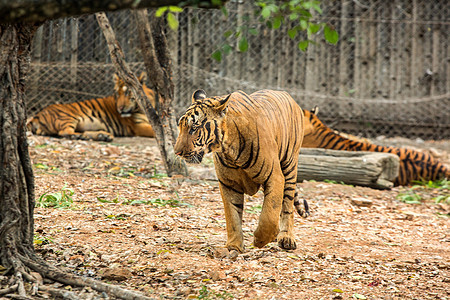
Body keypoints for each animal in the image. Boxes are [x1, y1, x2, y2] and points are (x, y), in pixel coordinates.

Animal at [27, 73, 156, 142]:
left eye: (127, 92)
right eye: (117, 93)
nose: (120, 108)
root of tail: (36, 116)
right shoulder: (137, 126)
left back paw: (103, 136)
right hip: (67, 117)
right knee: (64, 132)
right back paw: (80, 136)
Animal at [174, 88, 308, 253]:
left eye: (193, 128)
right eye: (180, 127)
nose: (177, 152)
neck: (229, 150)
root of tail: (287, 95)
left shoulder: (275, 177)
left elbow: (269, 214)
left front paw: (260, 240)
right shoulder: (229, 184)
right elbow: (232, 216)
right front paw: (234, 246)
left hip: (289, 166)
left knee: (287, 204)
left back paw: (286, 238)